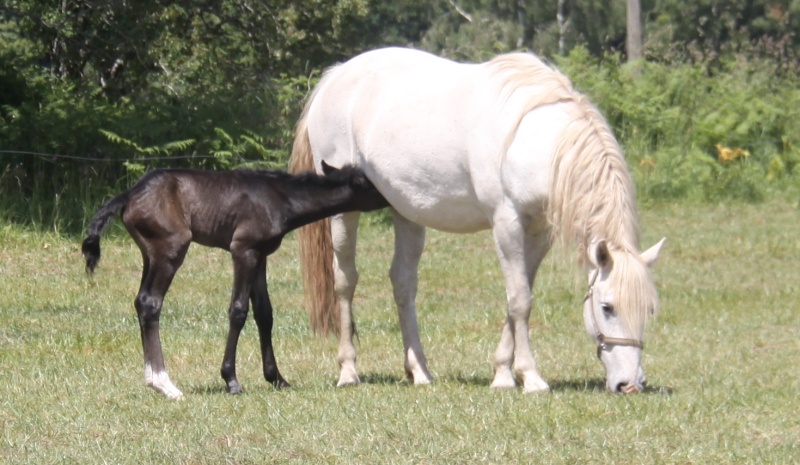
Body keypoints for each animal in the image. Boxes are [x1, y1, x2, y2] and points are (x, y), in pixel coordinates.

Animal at [83, 161, 390, 396]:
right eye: (367, 182)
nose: (391, 195)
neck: (280, 198)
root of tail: (129, 194)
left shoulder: (260, 255)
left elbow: (264, 313)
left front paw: (276, 378)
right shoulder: (243, 250)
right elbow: (238, 311)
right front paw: (231, 380)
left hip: (150, 254)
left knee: (140, 302)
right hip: (170, 250)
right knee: (150, 302)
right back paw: (164, 384)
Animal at [290, 47, 664, 394]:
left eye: (649, 310)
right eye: (607, 307)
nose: (630, 384)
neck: (533, 140)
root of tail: (336, 76)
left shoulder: (539, 232)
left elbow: (519, 295)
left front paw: (502, 373)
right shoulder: (506, 223)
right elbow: (520, 300)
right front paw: (529, 377)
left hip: (405, 210)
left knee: (403, 283)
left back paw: (419, 370)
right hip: (345, 214)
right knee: (345, 281)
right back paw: (348, 371)